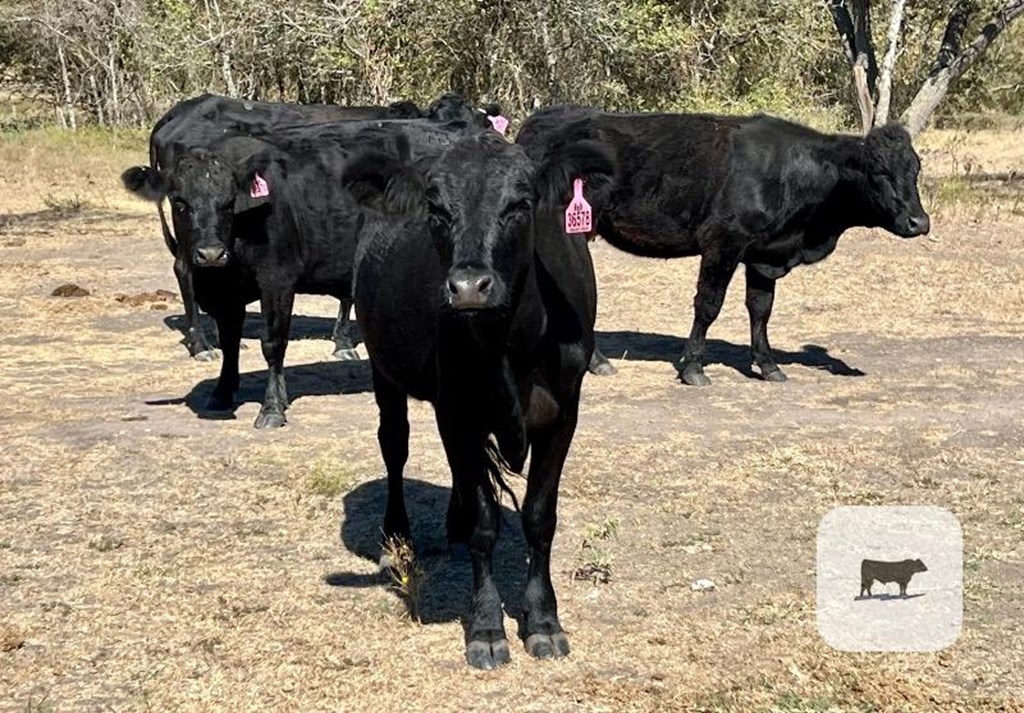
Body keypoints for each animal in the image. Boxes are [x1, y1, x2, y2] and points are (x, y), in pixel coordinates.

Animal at [348, 132, 610, 667]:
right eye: (436, 208)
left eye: (521, 203)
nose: (469, 287)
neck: (512, 343)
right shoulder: (458, 412)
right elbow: (485, 522)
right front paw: (487, 628)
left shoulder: (565, 411)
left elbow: (539, 516)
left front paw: (544, 620)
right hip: (383, 368)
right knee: (394, 445)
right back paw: (396, 536)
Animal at [516, 107, 933, 385]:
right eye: (879, 173)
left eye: (916, 169)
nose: (920, 222)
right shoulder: (724, 242)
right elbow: (709, 305)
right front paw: (693, 368)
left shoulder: (764, 256)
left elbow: (761, 309)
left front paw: (768, 365)